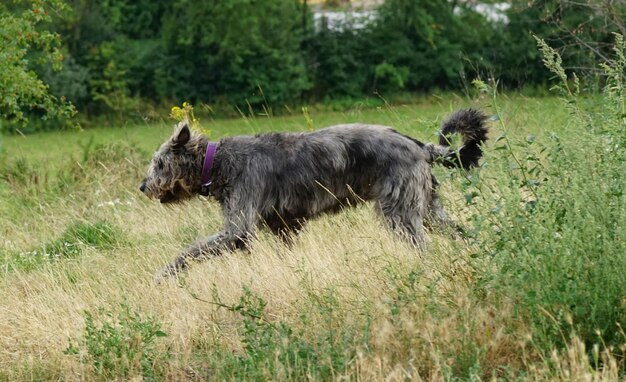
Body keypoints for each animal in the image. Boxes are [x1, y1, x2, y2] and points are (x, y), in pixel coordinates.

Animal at [139, 109, 486, 280]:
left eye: (158, 163)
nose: (142, 186)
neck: (218, 161)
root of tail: (420, 147)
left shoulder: (238, 224)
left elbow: (193, 249)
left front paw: (166, 274)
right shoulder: (283, 226)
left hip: (399, 212)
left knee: (421, 243)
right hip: (427, 207)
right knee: (458, 231)